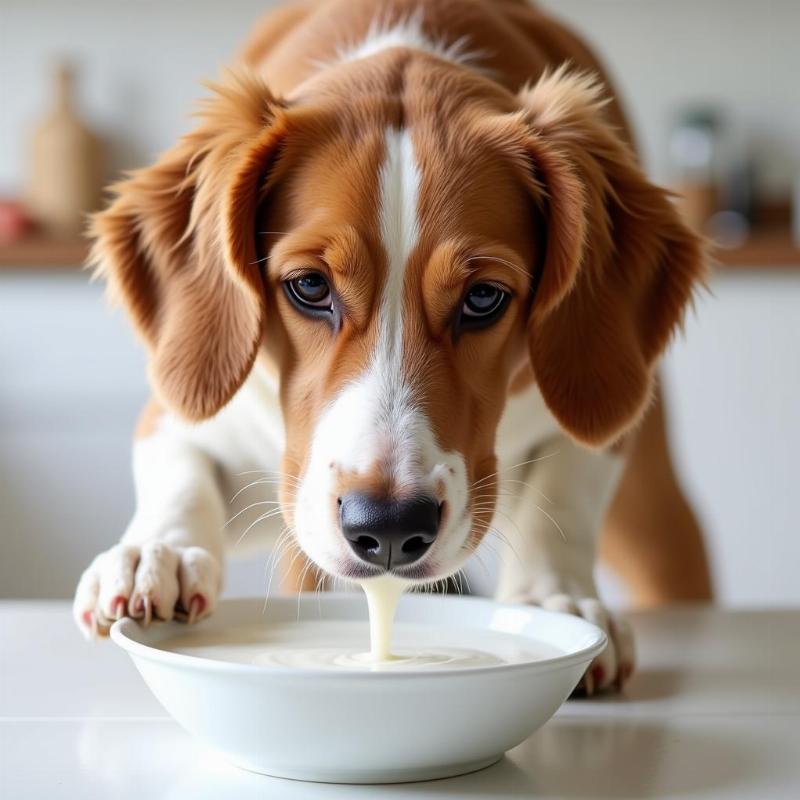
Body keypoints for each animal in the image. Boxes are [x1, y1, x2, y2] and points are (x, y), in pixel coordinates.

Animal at [72, 0, 704, 692]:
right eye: (309, 286)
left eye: (484, 297)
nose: (390, 529)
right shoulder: (195, 413)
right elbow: (179, 471)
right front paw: (155, 553)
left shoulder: (601, 427)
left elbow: (563, 491)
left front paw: (552, 596)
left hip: (653, 514)